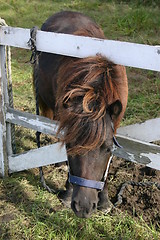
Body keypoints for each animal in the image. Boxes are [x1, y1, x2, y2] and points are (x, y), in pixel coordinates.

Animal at [33, 10, 127, 218]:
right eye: (69, 147)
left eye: (107, 148)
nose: (83, 207)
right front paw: (68, 193)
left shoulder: (114, 125)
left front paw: (105, 200)